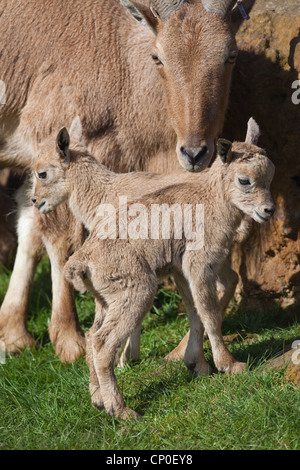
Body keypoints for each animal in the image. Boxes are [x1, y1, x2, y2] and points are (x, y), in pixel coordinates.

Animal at [31, 118, 276, 418]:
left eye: (42, 174)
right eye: (244, 179)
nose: (268, 210)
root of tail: (81, 262)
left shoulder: (184, 268)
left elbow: (197, 311)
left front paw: (198, 365)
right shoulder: (195, 264)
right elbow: (205, 311)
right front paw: (228, 365)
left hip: (113, 294)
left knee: (94, 337)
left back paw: (103, 400)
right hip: (133, 288)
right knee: (99, 340)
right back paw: (119, 408)